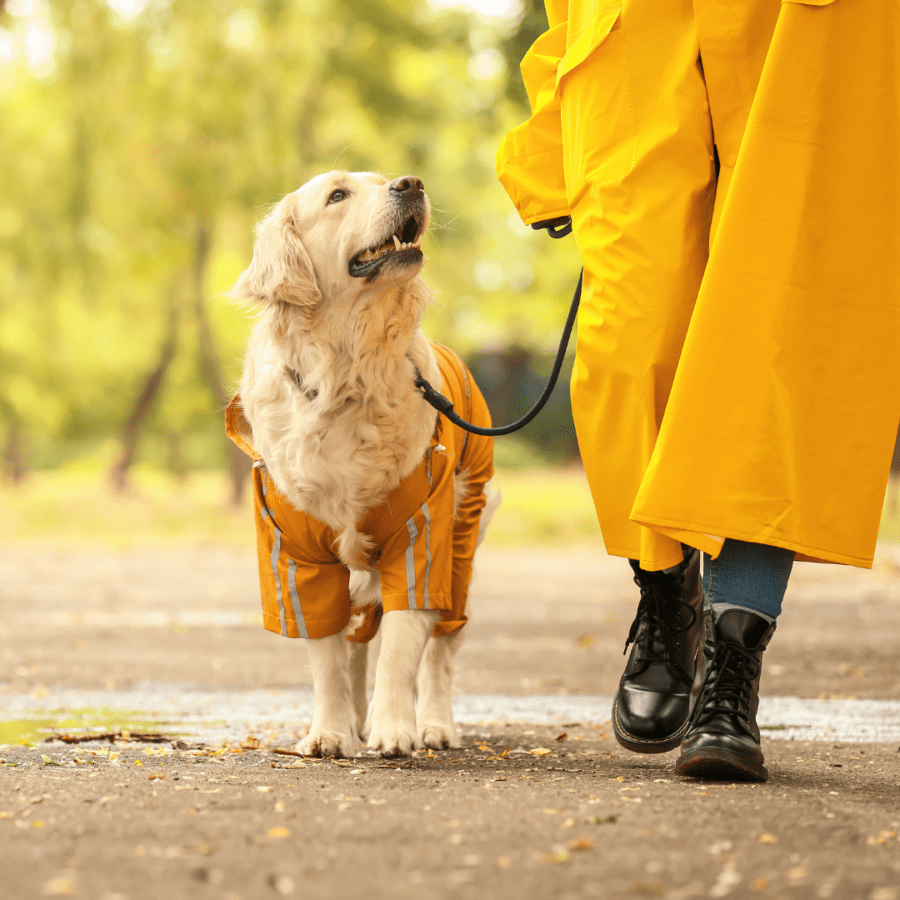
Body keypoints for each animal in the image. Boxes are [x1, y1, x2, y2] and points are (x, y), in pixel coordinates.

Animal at [227, 172, 500, 756]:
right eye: (337, 195)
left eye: (381, 180)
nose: (411, 182)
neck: (345, 375)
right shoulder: (296, 553)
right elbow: (328, 659)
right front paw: (331, 732)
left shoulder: (421, 535)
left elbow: (401, 647)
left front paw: (394, 729)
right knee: (354, 644)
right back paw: (353, 719)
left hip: (463, 543)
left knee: (440, 650)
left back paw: (434, 724)